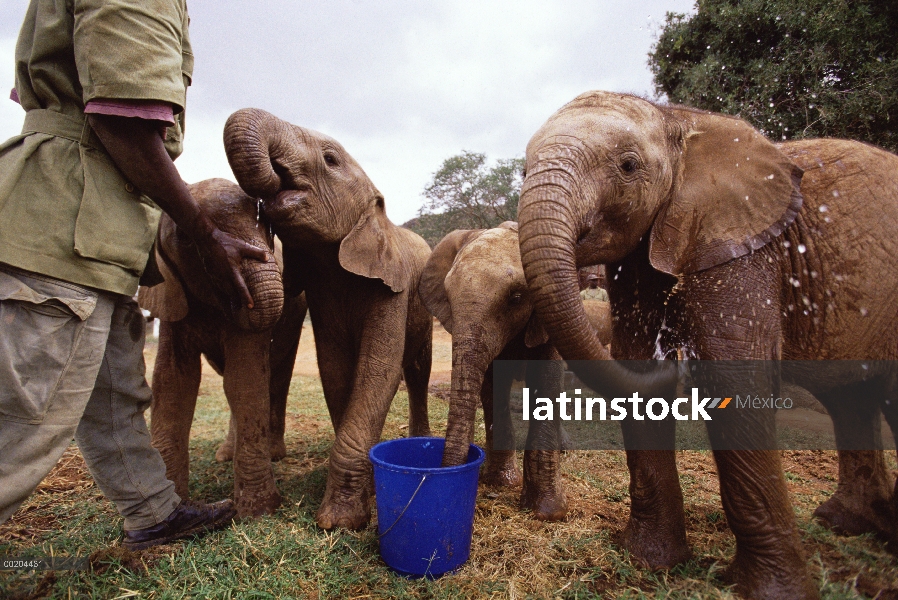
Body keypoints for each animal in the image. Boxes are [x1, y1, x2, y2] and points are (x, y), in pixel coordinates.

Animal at [138, 177, 308, 516]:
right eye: (186, 238)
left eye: (268, 229)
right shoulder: (173, 298)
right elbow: (173, 382)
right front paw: (177, 505)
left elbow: (244, 379)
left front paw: (257, 511)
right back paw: (226, 454)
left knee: (277, 376)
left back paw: (274, 454)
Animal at [224, 108, 434, 528]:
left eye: (330, 159)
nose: (265, 188)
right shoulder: (322, 293)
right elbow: (335, 370)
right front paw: (364, 495)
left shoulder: (394, 288)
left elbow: (376, 370)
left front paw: (339, 522)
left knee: (419, 370)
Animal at [418, 223, 612, 524]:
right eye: (447, 297)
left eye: (517, 298)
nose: (446, 478)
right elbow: (492, 384)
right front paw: (501, 482)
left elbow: (546, 379)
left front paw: (548, 512)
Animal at [516, 91, 896, 596]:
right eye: (523, 170)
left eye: (628, 166)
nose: (674, 357)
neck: (678, 119)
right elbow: (636, 367)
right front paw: (650, 561)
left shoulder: (741, 248)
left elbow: (732, 380)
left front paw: (771, 592)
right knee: (850, 397)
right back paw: (848, 524)